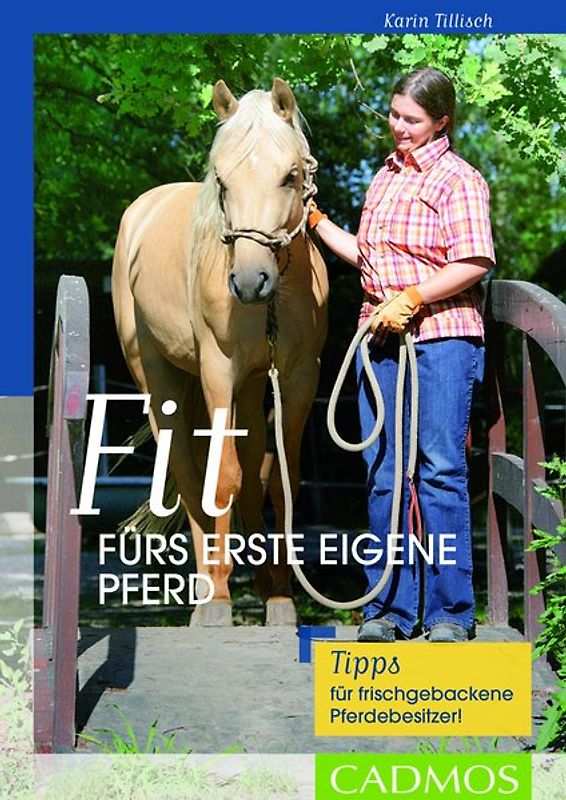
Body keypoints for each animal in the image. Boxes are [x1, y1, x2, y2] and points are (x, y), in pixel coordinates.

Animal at [112, 78, 329, 626]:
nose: (250, 282)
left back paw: (261, 580)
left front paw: (281, 597)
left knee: (252, 470)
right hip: (160, 381)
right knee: (191, 475)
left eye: (290, 176)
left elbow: (280, 480)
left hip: (250, 389)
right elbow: (223, 478)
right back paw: (208, 588)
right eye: (223, 183)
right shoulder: (218, 373)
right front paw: (222, 598)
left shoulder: (298, 378)